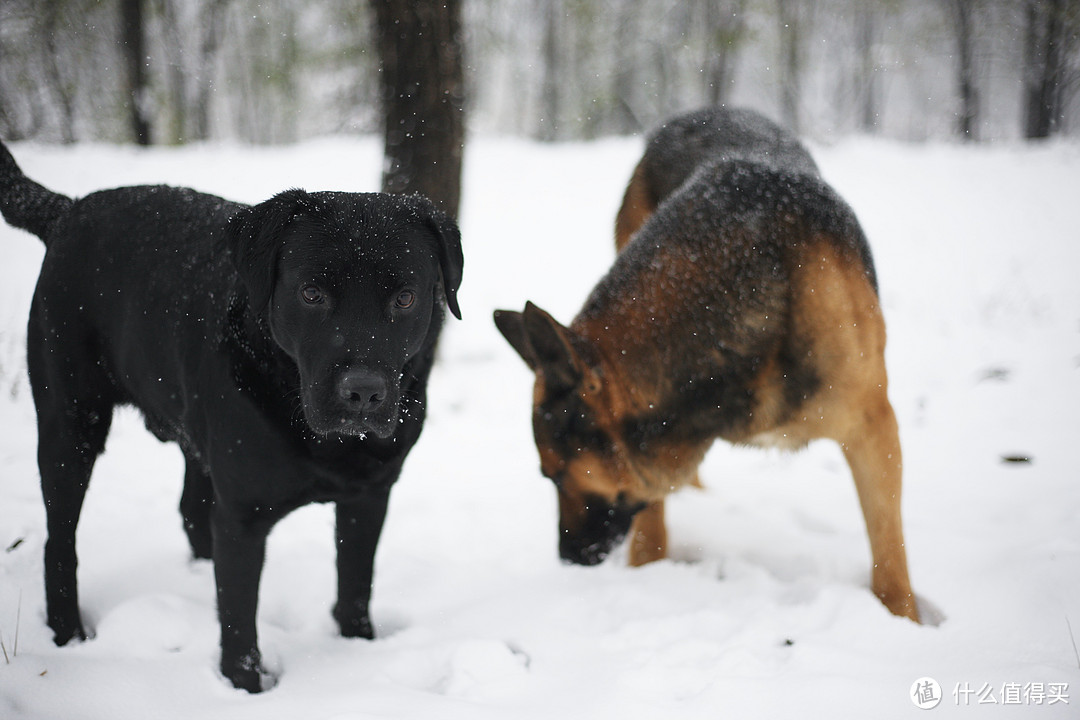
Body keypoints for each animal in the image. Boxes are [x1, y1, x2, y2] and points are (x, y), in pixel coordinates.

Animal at [494, 106, 920, 626]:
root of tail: (697, 112)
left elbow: (890, 555)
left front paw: (903, 621)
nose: (567, 559)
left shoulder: (874, 430)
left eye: (553, 475)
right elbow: (650, 528)